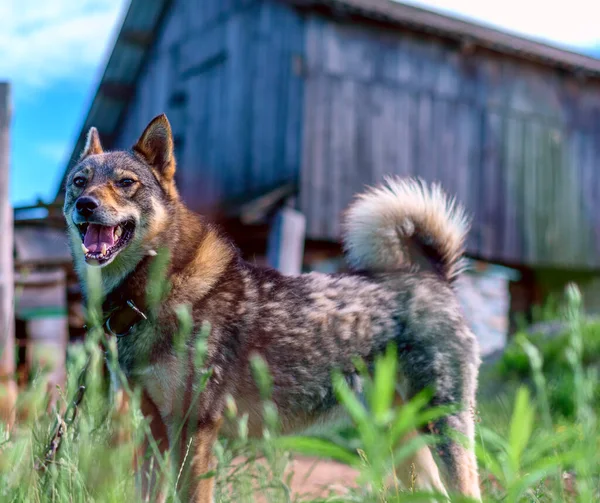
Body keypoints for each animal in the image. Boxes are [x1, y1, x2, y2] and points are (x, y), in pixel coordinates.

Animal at [62, 114, 482, 503]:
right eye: (79, 182)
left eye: (125, 182)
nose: (85, 205)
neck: (153, 291)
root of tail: (436, 276)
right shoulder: (151, 431)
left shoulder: (195, 429)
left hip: (442, 429)